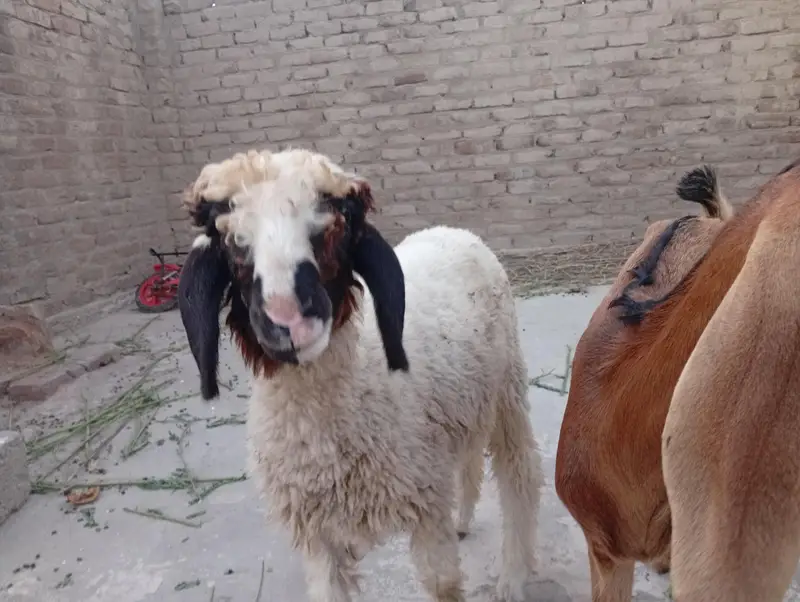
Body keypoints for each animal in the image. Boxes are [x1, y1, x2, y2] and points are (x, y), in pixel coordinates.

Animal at [176, 148, 544, 602]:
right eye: (228, 238)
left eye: (340, 222)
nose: (288, 317)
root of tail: (452, 230)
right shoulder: (319, 537)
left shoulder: (426, 505)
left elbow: (442, 584)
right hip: (464, 404)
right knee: (469, 460)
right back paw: (464, 521)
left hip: (507, 388)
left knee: (520, 474)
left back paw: (512, 578)